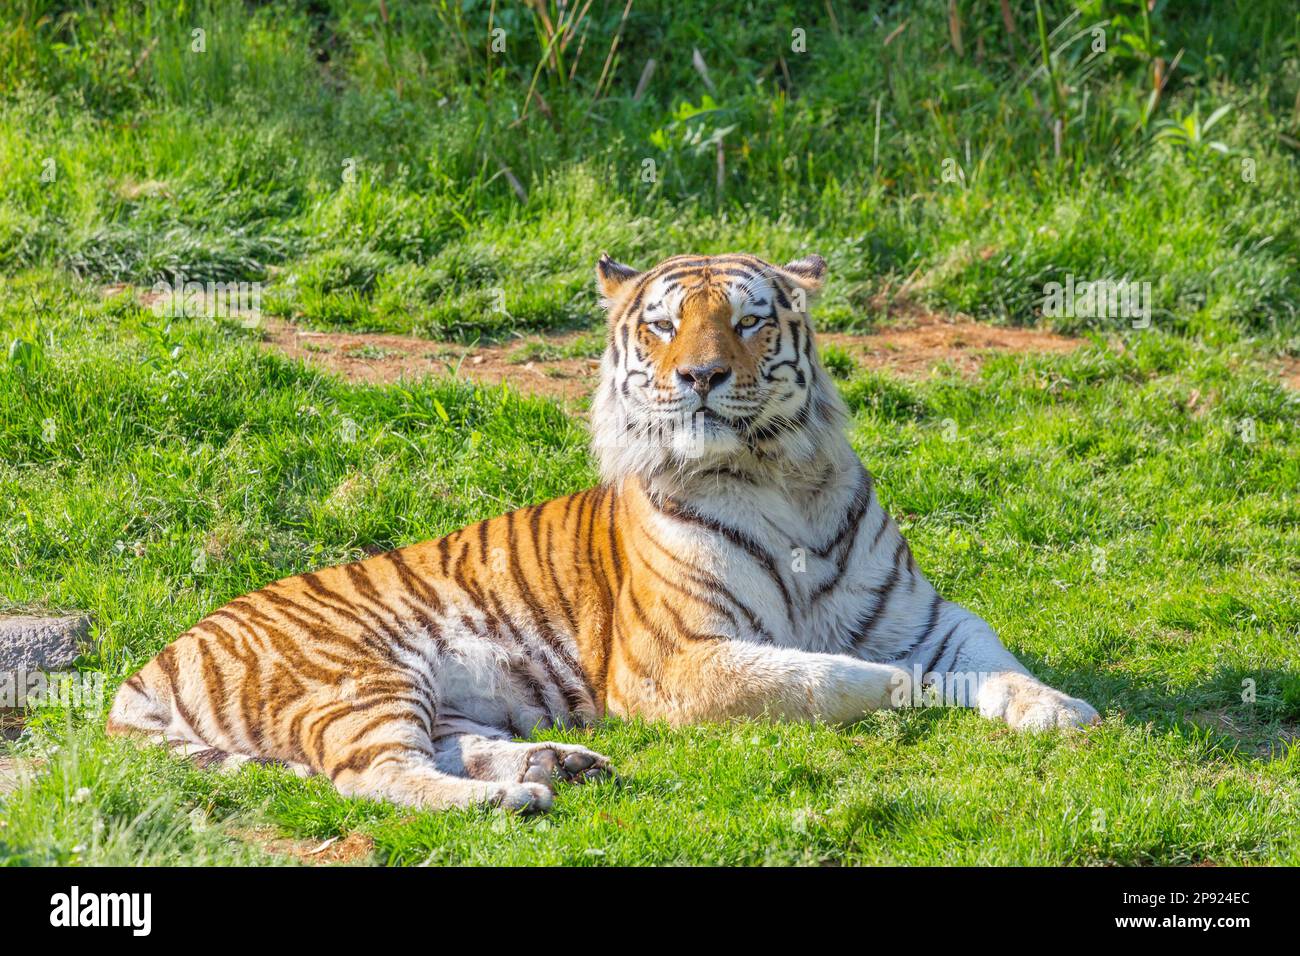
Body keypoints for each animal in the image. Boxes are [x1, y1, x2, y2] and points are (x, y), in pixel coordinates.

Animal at [109, 252, 1097, 816]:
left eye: (749, 320)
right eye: (662, 325)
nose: (700, 376)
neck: (778, 476)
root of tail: (148, 664)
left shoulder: (926, 617)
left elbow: (994, 662)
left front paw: (1063, 711)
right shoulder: (678, 658)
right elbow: (826, 677)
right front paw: (905, 691)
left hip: (432, 694)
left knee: (447, 744)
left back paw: (563, 764)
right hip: (356, 676)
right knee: (371, 774)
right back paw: (514, 801)